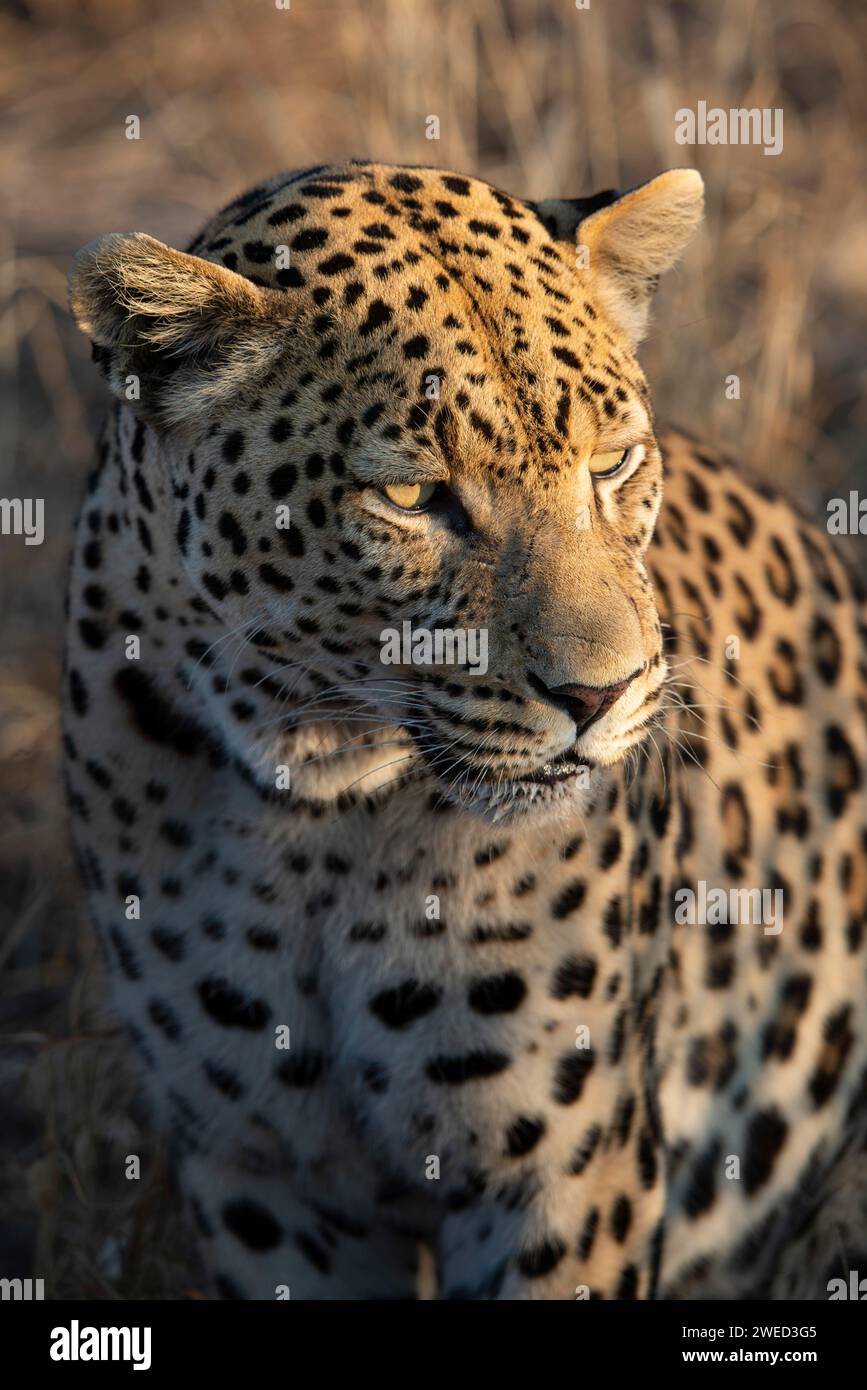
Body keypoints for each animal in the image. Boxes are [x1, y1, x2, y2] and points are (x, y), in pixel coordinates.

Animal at [63, 159, 867, 1300]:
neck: (318, 811)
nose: (601, 695)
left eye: (612, 464)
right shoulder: (264, 1177)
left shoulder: (566, 1168)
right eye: (411, 495)